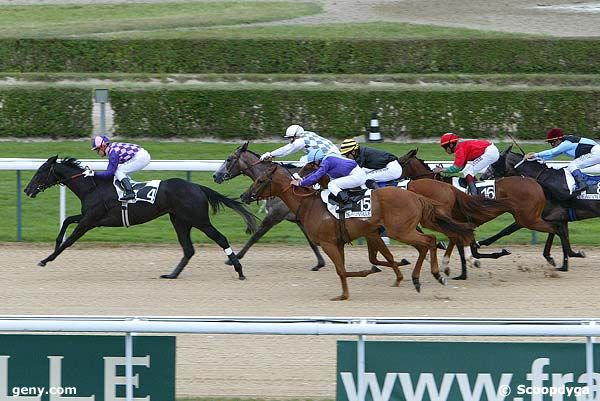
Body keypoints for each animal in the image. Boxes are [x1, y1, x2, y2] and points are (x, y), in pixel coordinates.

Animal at [24, 155, 258, 278]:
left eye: (40, 172)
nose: (27, 190)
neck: (92, 186)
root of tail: (197, 186)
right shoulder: (88, 217)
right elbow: (66, 221)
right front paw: (54, 243)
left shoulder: (89, 221)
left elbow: (70, 241)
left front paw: (46, 259)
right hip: (180, 221)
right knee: (188, 249)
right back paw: (172, 275)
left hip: (198, 220)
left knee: (220, 238)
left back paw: (239, 270)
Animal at [213, 142, 326, 270]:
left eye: (229, 159)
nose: (215, 175)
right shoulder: (300, 220)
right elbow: (311, 241)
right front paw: (320, 263)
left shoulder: (274, 215)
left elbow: (256, 236)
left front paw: (235, 258)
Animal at [239, 161, 474, 298]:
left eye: (261, 180)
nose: (244, 195)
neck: (309, 203)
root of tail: (415, 195)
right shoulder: (342, 241)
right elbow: (362, 263)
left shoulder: (329, 243)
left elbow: (342, 270)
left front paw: (345, 293)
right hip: (406, 229)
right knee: (431, 242)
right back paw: (432, 274)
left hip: (401, 230)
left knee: (430, 241)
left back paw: (431, 275)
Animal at [398, 148, 576, 270]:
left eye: (399, 163)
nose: (396, 181)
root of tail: (535, 183)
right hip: (528, 217)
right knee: (557, 226)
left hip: (529, 218)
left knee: (556, 227)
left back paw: (568, 257)